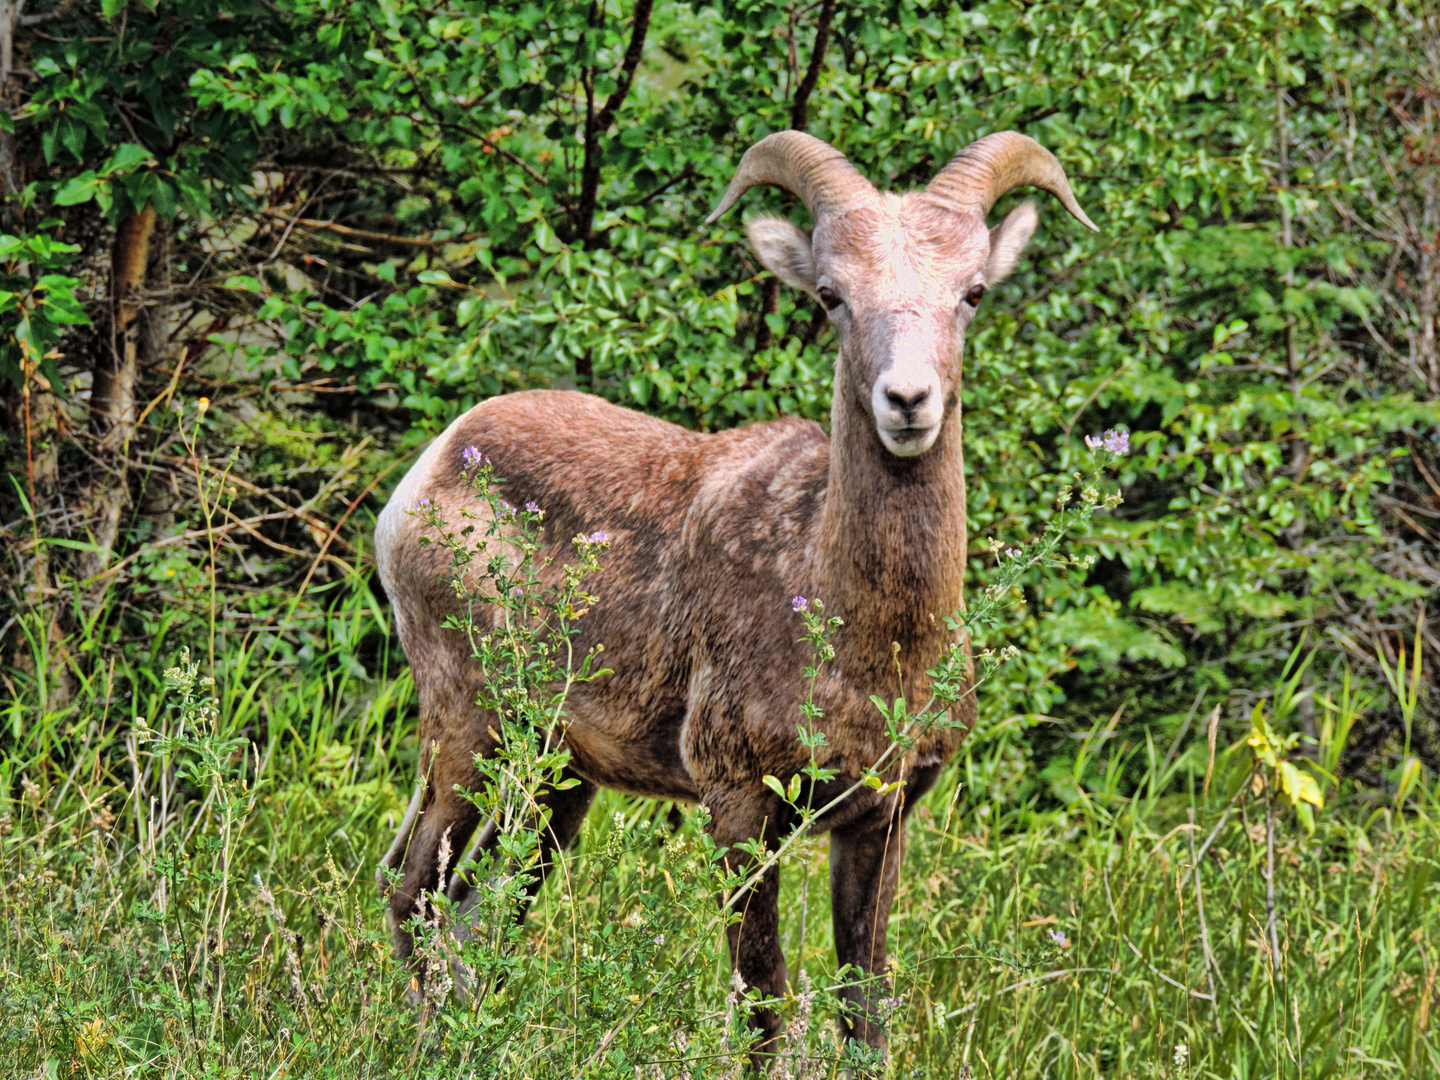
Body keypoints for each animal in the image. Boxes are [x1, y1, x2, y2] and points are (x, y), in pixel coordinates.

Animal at [377, 128, 1094, 1059]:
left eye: (971, 294)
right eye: (831, 296)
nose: (907, 402)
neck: (867, 643)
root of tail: (431, 470)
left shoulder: (880, 821)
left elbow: (864, 1009)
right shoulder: (740, 808)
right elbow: (763, 1003)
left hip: (560, 782)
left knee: (474, 916)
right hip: (472, 731)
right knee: (412, 892)